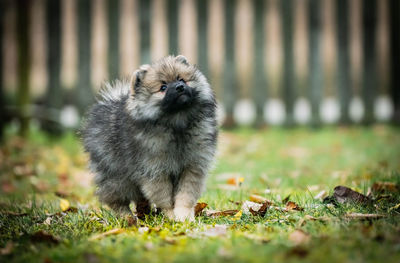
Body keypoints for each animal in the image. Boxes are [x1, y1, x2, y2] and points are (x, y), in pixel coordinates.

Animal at [81, 55, 217, 223]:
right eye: (163, 87)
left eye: (182, 79)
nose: (179, 87)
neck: (177, 124)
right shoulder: (155, 170)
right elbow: (164, 197)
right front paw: (171, 215)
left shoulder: (192, 167)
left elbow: (185, 195)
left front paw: (184, 216)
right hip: (116, 175)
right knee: (116, 199)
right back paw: (127, 217)